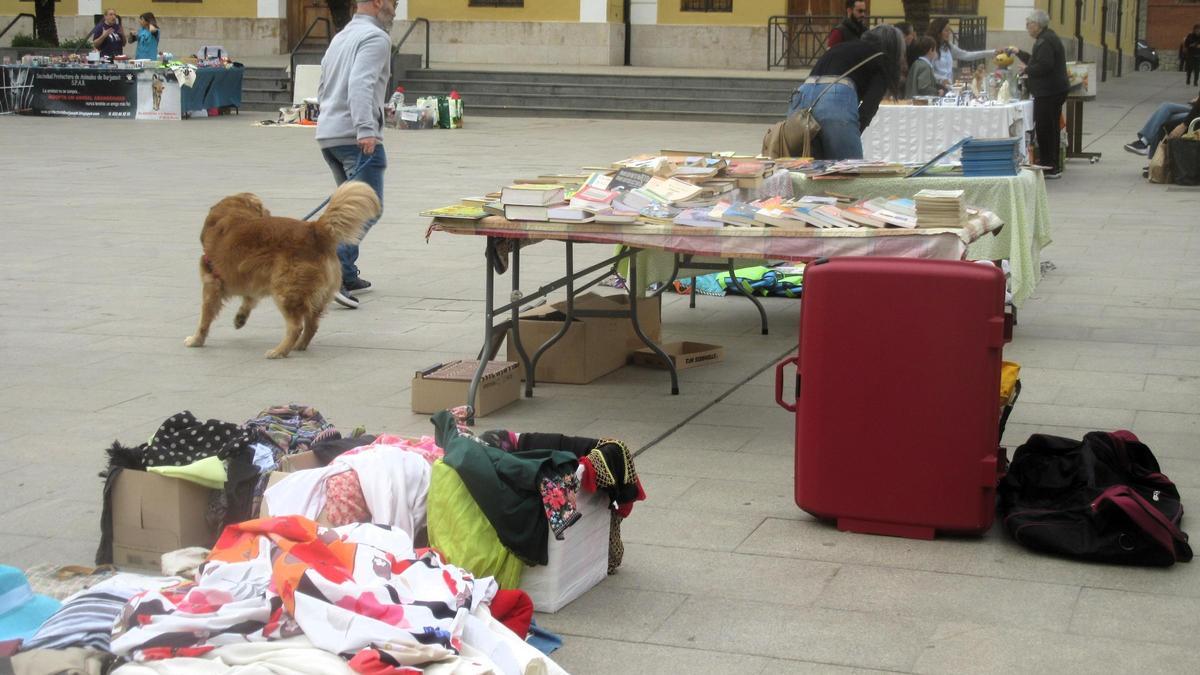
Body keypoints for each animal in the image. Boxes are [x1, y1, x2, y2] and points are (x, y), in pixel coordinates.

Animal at [184, 178, 379, 357]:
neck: (233, 215)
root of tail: (315, 230)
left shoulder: (211, 285)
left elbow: (204, 319)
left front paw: (196, 340)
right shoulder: (252, 279)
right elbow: (248, 300)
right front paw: (240, 318)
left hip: (285, 291)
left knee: (296, 326)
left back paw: (279, 351)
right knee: (312, 325)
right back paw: (298, 346)